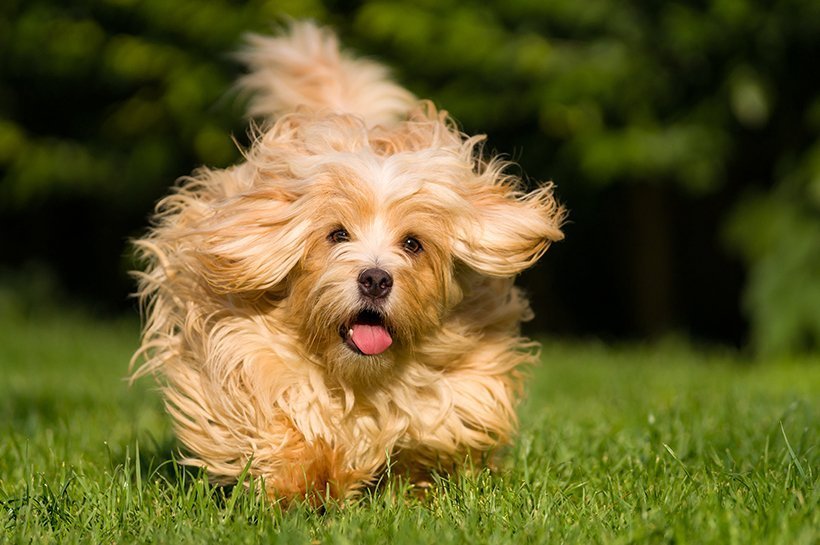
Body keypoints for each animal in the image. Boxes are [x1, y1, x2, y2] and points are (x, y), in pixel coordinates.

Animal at [133, 22, 564, 506]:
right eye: (337, 234)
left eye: (413, 243)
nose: (375, 279)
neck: (360, 377)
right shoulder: (243, 352)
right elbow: (281, 416)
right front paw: (305, 481)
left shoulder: (465, 381)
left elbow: (434, 428)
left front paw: (413, 482)